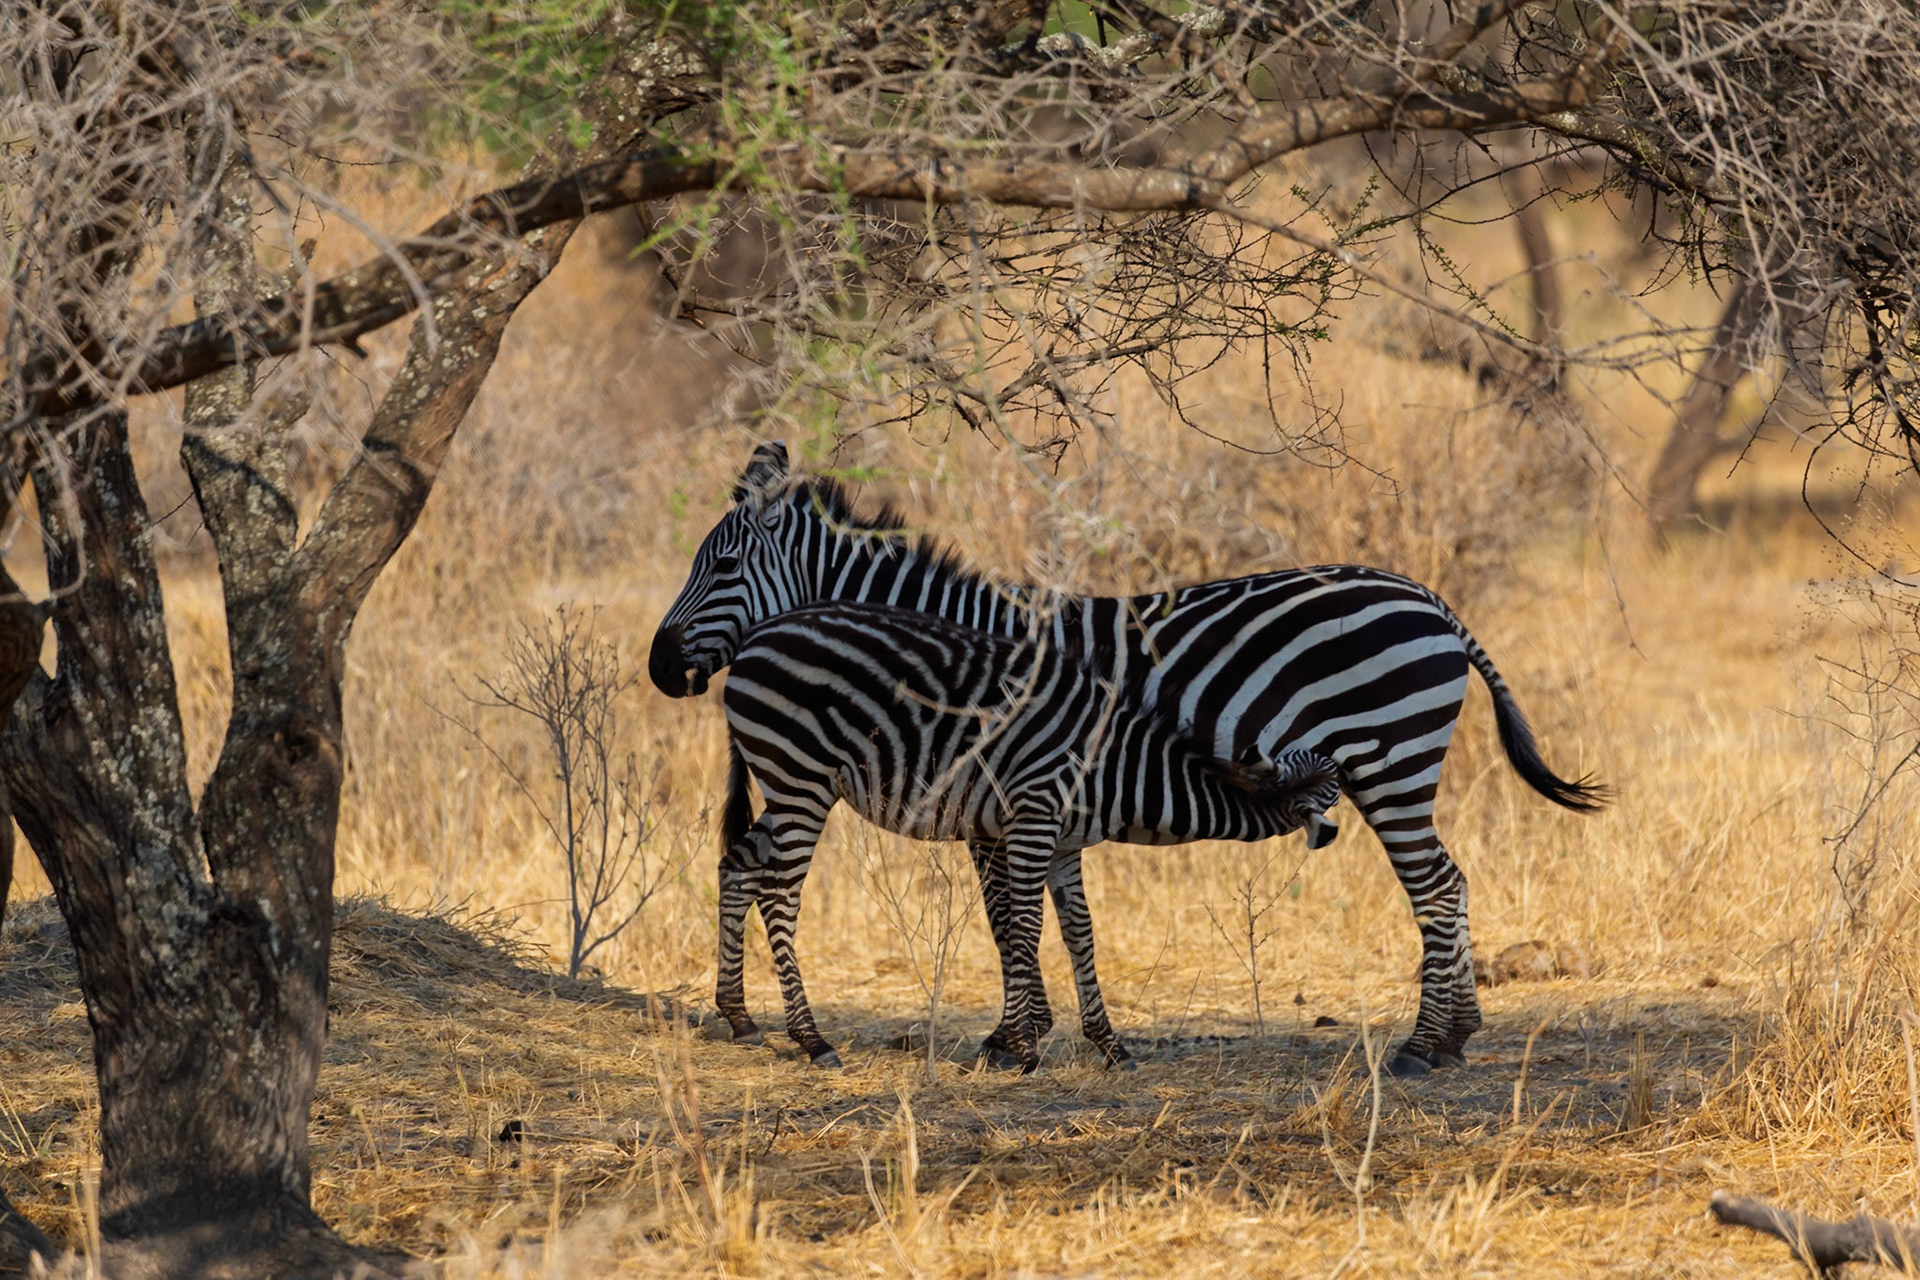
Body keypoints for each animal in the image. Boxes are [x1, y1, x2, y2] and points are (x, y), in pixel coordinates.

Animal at [718, 600, 1343, 1070]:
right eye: (1332, 791)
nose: (1334, 834)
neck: (1118, 769)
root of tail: (757, 635)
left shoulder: (1065, 844)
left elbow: (1079, 932)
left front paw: (1109, 1045)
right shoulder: (1033, 816)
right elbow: (1023, 925)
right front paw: (1019, 1047)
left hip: (786, 785)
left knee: (738, 864)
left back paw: (739, 1016)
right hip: (801, 778)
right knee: (779, 893)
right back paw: (812, 1040)